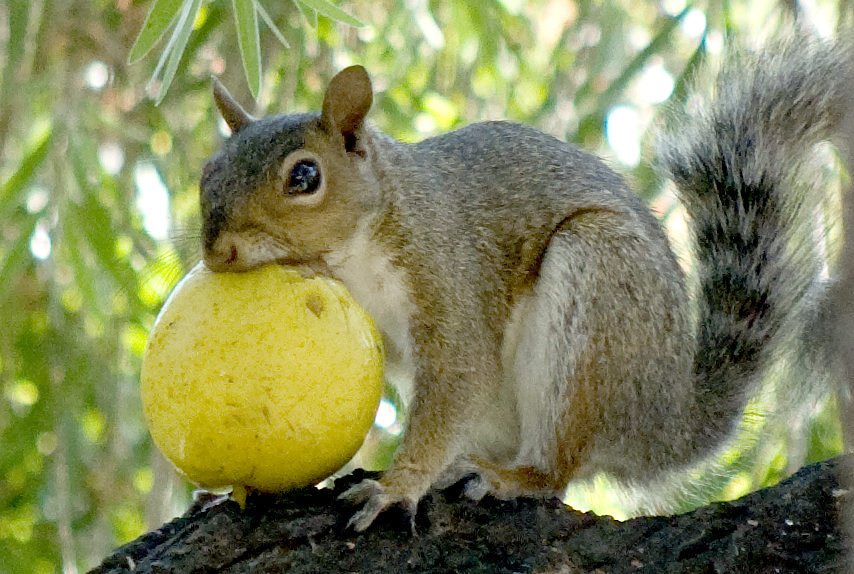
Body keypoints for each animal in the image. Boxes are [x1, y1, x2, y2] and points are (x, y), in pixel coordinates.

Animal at [199, 36, 853, 531]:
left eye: (305, 176)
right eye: (209, 170)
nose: (218, 251)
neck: (362, 243)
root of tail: (664, 420)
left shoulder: (447, 273)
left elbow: (459, 376)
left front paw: (397, 487)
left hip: (598, 286)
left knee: (555, 472)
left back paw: (508, 478)